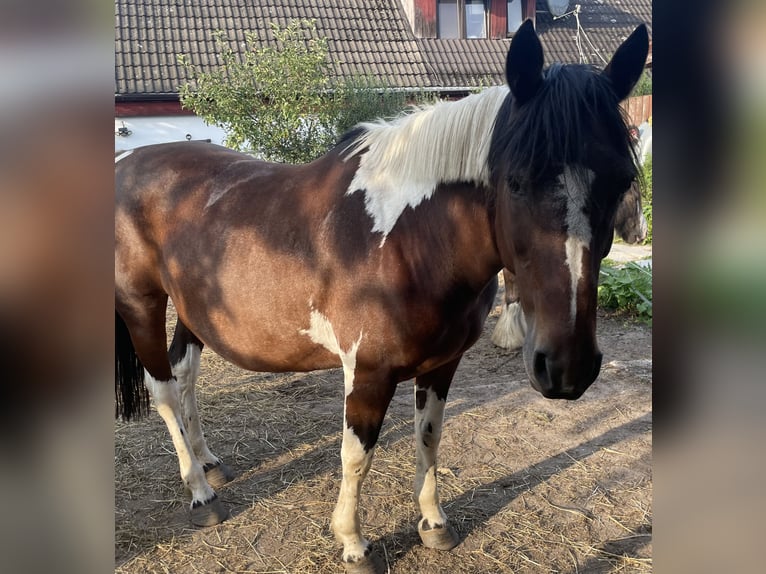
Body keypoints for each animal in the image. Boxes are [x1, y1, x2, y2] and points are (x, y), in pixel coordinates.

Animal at [117, 20, 652, 572]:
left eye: (621, 180)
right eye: (518, 181)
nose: (568, 367)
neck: (409, 240)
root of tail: (126, 162)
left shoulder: (442, 364)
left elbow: (429, 437)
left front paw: (433, 523)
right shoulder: (367, 372)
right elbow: (357, 456)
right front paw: (353, 543)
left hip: (193, 309)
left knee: (185, 374)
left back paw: (207, 462)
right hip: (141, 305)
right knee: (162, 388)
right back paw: (200, 493)